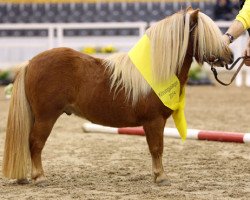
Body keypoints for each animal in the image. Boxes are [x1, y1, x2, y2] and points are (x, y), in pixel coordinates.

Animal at [1, 8, 232, 185]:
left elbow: (156, 149)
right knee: (35, 143)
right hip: (46, 117)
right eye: (208, 34)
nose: (229, 57)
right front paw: (161, 177)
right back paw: (39, 177)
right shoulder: (154, 121)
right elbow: (157, 148)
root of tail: (30, 62)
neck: (157, 71)